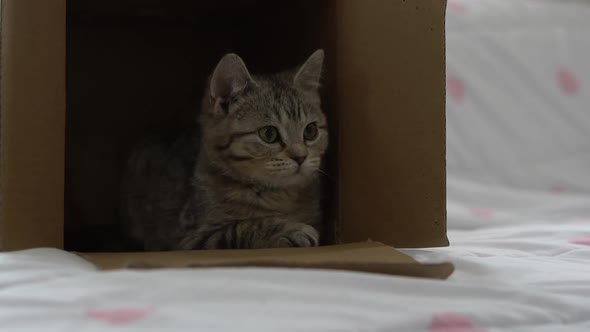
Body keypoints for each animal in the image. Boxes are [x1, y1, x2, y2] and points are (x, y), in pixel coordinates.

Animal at [123, 50, 330, 250]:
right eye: (269, 134)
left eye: (310, 131)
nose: (301, 157)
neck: (279, 196)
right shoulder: (190, 238)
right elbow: (242, 226)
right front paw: (288, 230)